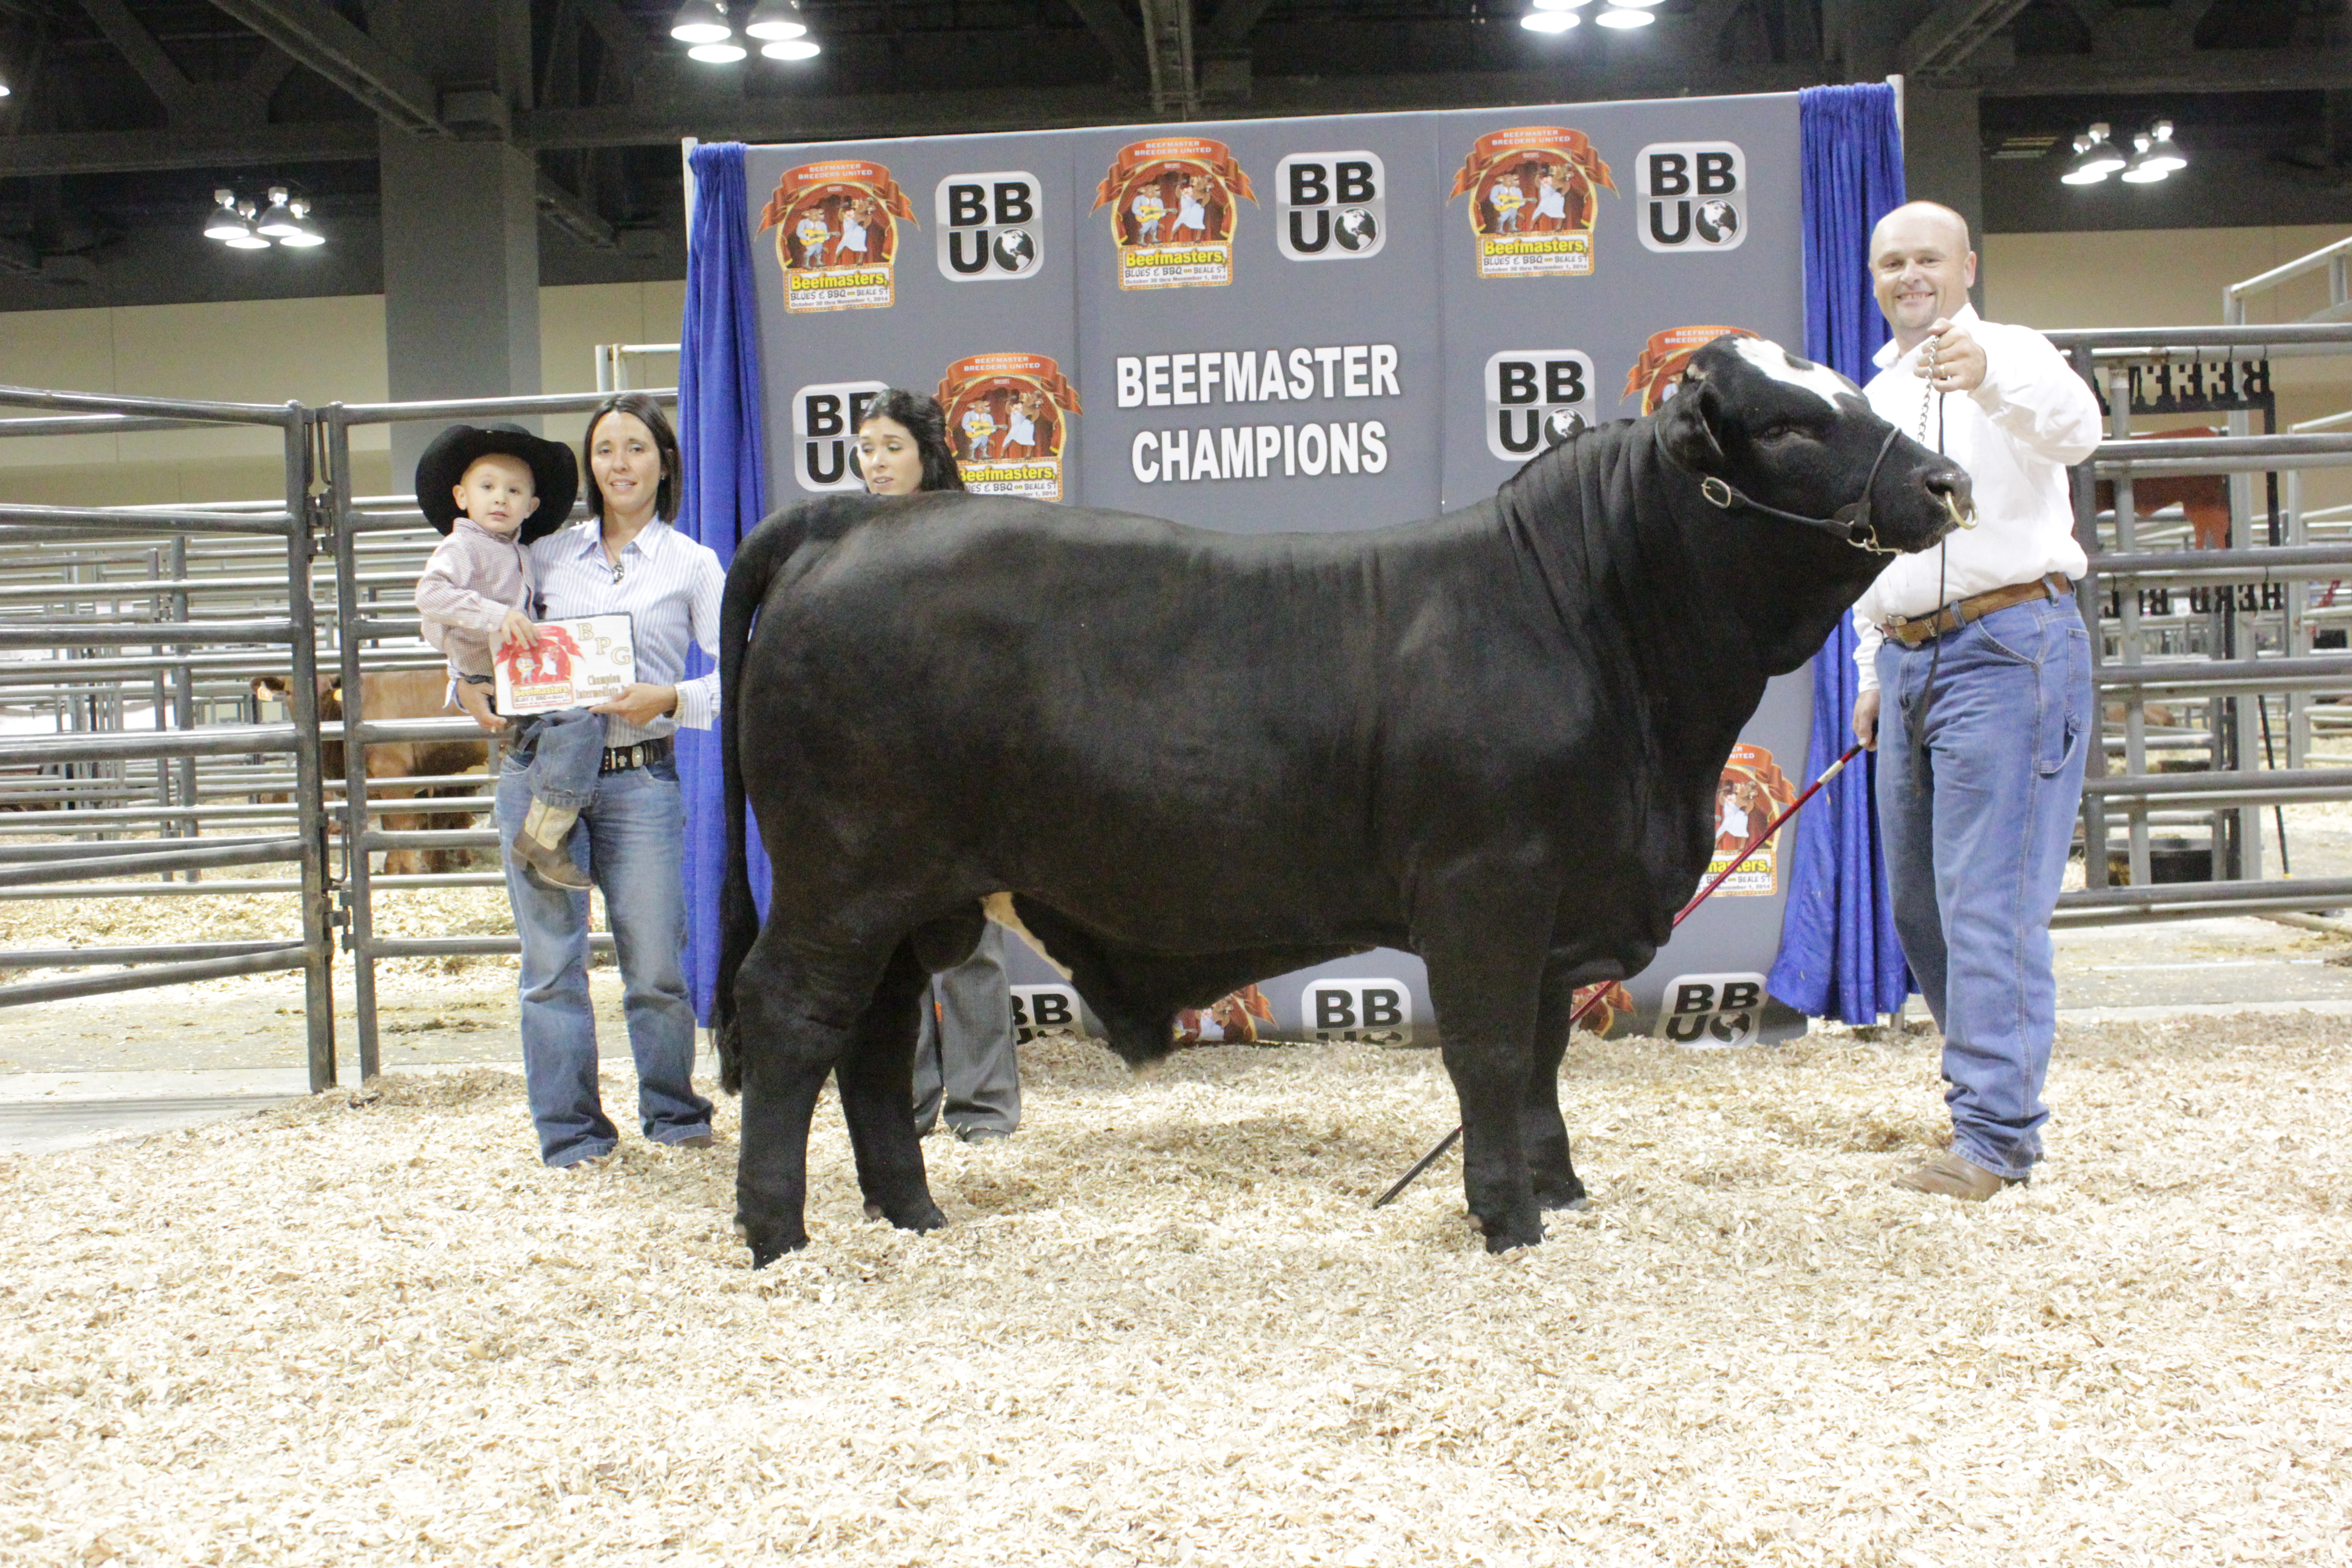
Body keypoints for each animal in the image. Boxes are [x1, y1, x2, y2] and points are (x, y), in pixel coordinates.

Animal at [253, 669, 489, 874]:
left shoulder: (395, 779)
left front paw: (410, 874)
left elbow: (402, 827)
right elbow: (388, 830)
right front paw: (392, 873)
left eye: (328, 692)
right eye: (289, 692)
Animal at [712, 334, 1971, 1265]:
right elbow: (1489, 1053)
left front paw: (1559, 1188)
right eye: (1789, 424)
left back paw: (910, 1215)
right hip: (841, 875)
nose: (1946, 480)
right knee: (790, 1018)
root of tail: (855, 520)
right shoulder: (1486, 885)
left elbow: (1543, 1051)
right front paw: (1507, 1219)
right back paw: (778, 1234)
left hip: (906, 899)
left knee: (872, 1043)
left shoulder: (1558, 902)